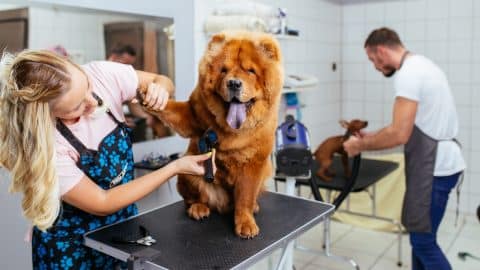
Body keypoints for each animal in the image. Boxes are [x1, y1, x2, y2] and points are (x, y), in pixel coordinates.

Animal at [144, 31, 284, 238]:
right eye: (224, 70)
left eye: (250, 71)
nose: (234, 83)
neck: (233, 129)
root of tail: (225, 205)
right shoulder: (192, 114)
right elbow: (171, 108)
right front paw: (148, 94)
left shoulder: (254, 164)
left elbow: (245, 197)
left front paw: (246, 223)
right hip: (189, 174)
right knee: (192, 198)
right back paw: (198, 209)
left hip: (265, 170)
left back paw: (254, 207)